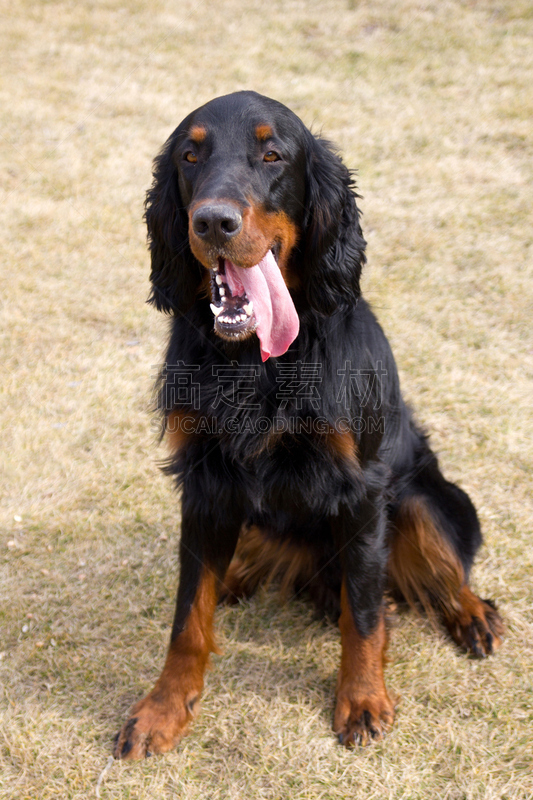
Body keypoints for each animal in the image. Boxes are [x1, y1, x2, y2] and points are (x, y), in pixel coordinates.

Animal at [113, 90, 502, 760]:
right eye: (190, 155)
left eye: (273, 155)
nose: (212, 223)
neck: (256, 360)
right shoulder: (204, 482)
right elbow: (188, 614)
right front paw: (163, 710)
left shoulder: (363, 488)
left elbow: (364, 612)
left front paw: (363, 700)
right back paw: (237, 574)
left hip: (425, 499)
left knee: (441, 573)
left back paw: (473, 614)